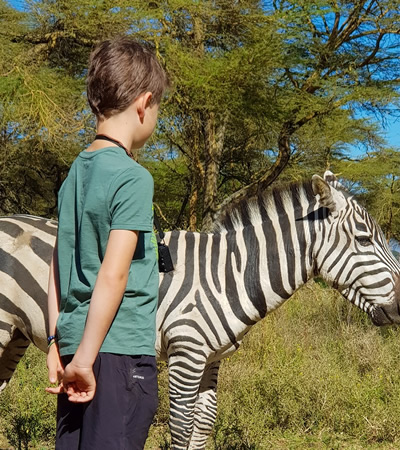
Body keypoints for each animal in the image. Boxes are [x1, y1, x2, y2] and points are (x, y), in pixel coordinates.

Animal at [0, 172, 400, 450]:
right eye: (365, 240)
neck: (226, 275)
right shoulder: (186, 351)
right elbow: (182, 426)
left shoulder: (212, 357)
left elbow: (204, 423)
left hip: (16, 334)